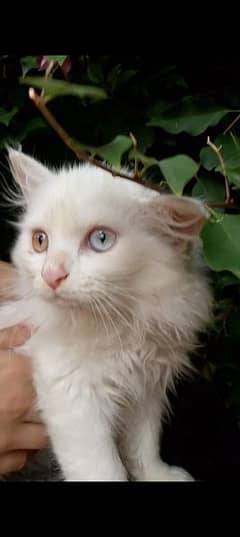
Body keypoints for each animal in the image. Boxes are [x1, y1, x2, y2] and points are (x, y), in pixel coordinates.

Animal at [0, 150, 213, 482]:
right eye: (40, 241)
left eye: (101, 240)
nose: (51, 275)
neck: (123, 324)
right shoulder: (73, 395)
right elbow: (103, 469)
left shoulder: (146, 388)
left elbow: (143, 447)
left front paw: (159, 475)